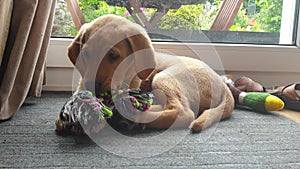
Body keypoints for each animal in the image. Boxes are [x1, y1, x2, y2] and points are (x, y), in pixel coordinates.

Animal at [67, 14, 234, 133]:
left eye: (113, 56)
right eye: (85, 54)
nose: (91, 86)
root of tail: (223, 84)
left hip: (164, 77)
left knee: (183, 112)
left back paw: (136, 117)